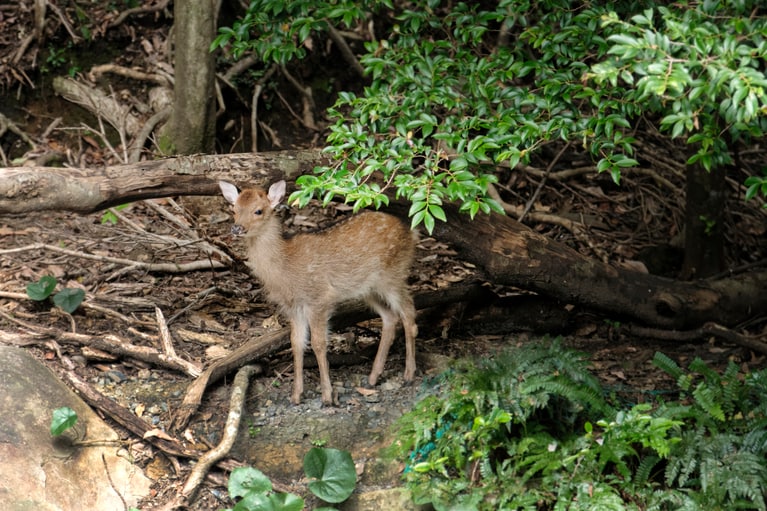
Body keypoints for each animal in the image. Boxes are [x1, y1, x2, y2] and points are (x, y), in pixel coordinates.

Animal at [218, 180, 418, 405]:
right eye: (234, 209)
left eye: (258, 210)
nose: (237, 228)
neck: (284, 269)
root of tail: (411, 232)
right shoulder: (293, 307)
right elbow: (296, 343)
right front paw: (296, 395)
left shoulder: (319, 298)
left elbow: (319, 343)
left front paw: (327, 396)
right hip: (369, 288)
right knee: (390, 317)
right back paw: (373, 377)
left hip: (393, 274)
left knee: (409, 313)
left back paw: (409, 374)